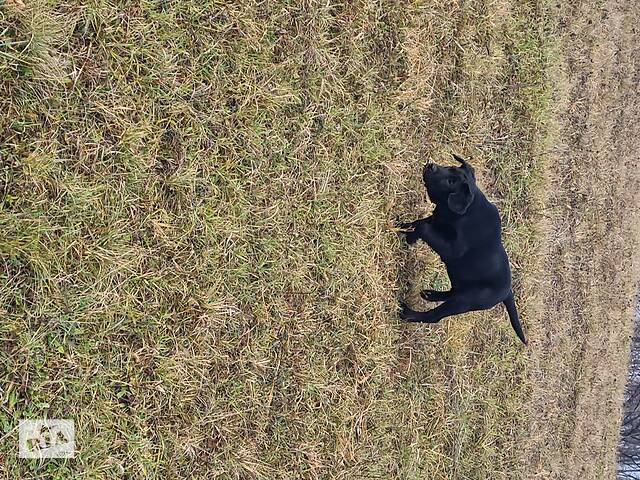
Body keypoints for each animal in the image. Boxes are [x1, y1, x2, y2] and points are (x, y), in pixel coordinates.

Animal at [400, 155, 524, 344]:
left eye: (451, 182)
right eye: (450, 167)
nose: (431, 166)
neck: (466, 211)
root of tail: (507, 292)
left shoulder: (452, 248)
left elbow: (423, 226)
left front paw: (410, 236)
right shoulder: (438, 219)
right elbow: (420, 222)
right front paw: (404, 229)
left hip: (465, 300)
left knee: (435, 315)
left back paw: (409, 313)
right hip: (463, 287)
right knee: (453, 291)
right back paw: (431, 294)